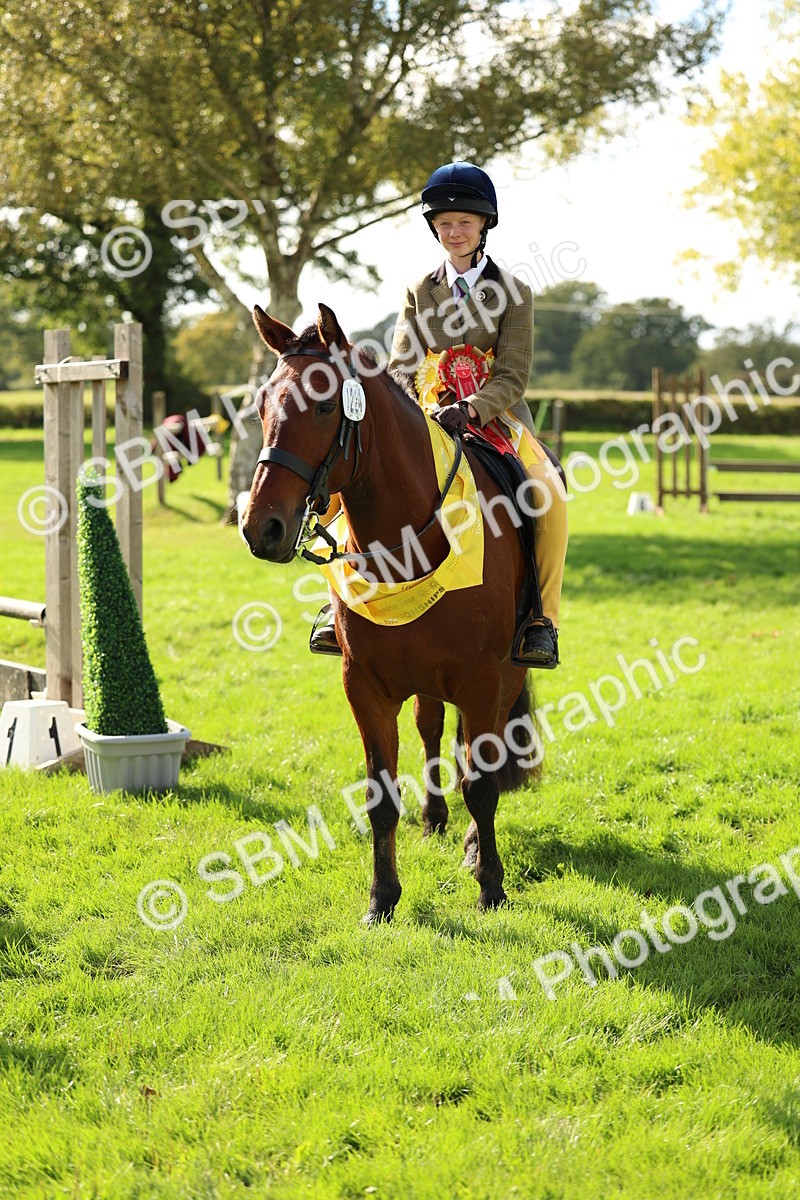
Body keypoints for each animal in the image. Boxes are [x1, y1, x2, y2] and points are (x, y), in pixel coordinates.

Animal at [241, 303, 539, 923]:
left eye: (325, 404)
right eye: (261, 403)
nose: (262, 527)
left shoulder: (482, 679)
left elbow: (482, 784)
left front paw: (491, 886)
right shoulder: (364, 684)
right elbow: (381, 795)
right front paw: (382, 897)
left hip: (506, 674)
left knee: (483, 757)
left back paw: (472, 846)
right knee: (431, 726)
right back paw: (434, 818)